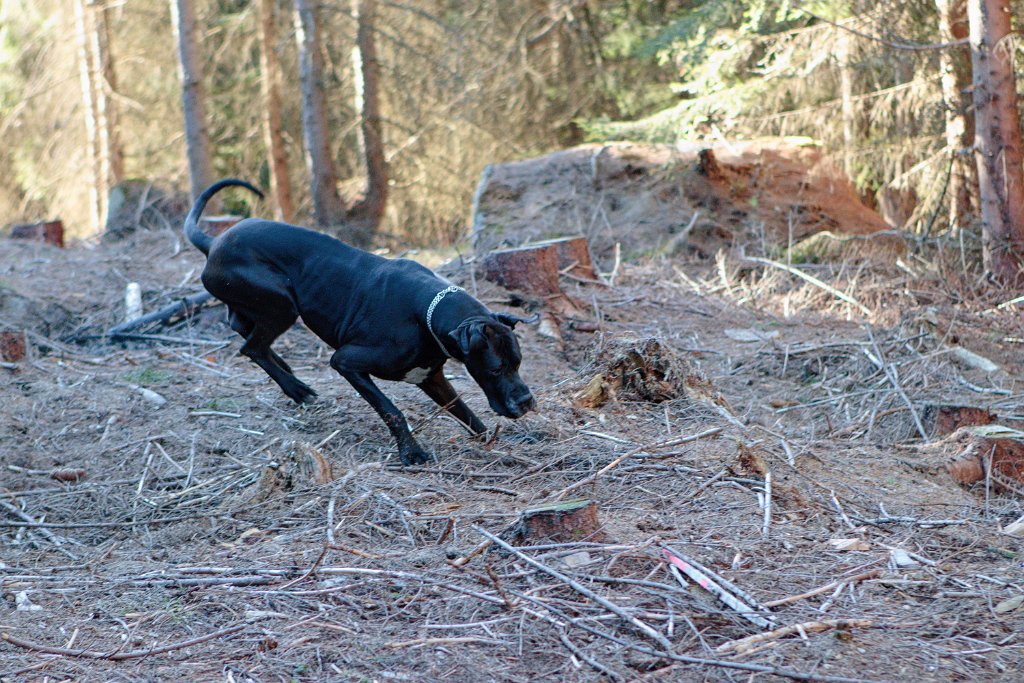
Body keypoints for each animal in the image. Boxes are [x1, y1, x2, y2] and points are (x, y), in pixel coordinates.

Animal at [186, 179, 536, 464]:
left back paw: (291, 377)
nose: (527, 402)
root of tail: (213, 243)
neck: (428, 314)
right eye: (495, 369)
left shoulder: (431, 377)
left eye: (518, 362)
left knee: (245, 332)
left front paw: (492, 439)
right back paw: (297, 390)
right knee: (252, 348)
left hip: (262, 305)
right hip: (282, 303)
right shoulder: (346, 362)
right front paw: (412, 453)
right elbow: (392, 411)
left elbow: (463, 411)